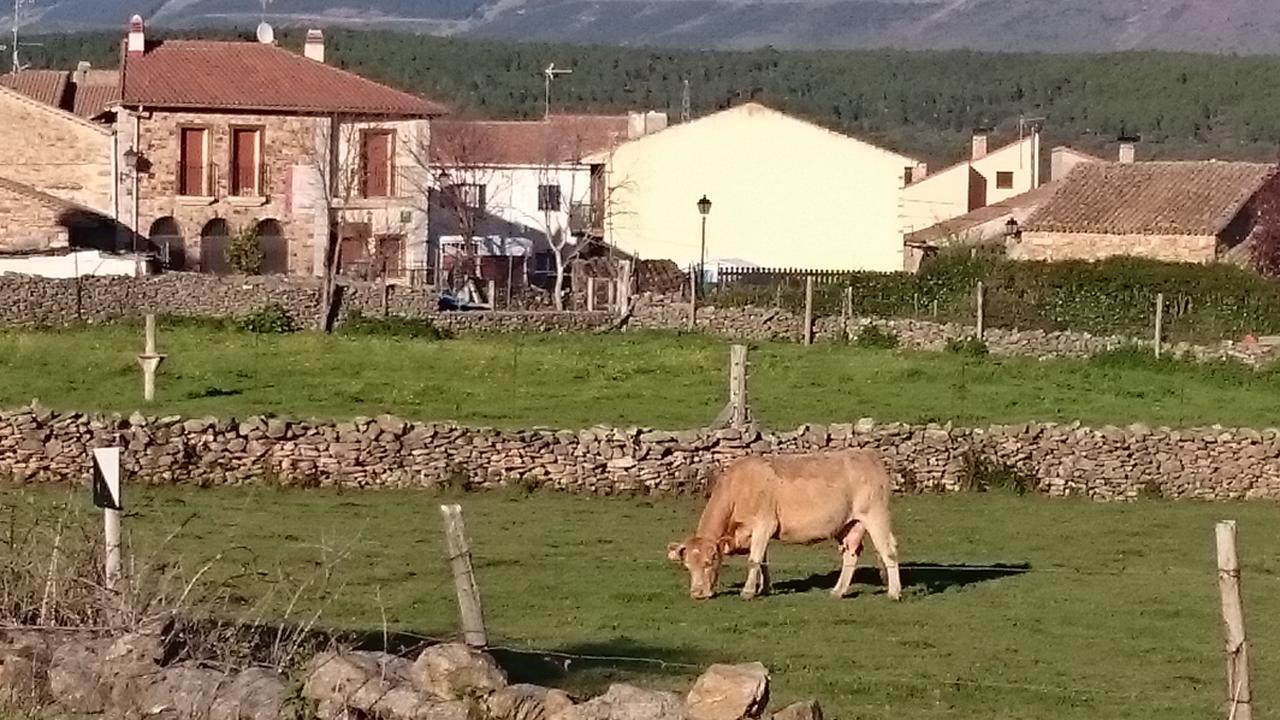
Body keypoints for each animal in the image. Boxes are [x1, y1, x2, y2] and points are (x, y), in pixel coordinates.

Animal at [665, 448, 906, 599]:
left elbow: (753, 560)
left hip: (875, 515)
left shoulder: (764, 524)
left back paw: (894, 593)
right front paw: (764, 589)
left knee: (889, 551)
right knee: (851, 553)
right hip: (849, 524)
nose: (697, 594)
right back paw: (838, 591)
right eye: (688, 566)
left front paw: (748, 592)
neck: (739, 487)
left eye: (709, 562)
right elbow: (762, 561)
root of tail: (866, 455)